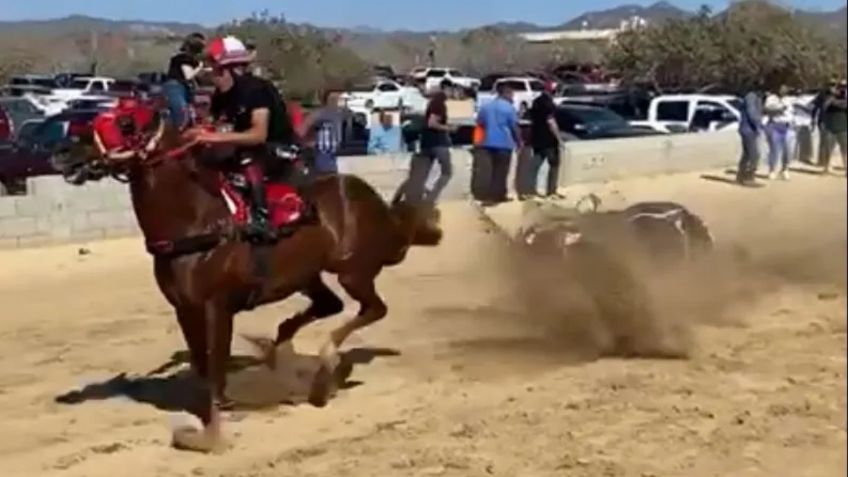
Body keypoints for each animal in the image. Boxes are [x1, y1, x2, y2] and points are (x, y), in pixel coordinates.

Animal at [51, 106, 444, 452]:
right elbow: (201, 367)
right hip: (307, 276)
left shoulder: (217, 306)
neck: (197, 223)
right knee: (327, 306)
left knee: (373, 309)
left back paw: (324, 366)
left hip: (353, 271)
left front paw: (211, 436)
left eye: (126, 122)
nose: (63, 151)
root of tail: (375, 203)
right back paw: (282, 353)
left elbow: (215, 369)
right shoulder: (185, 309)